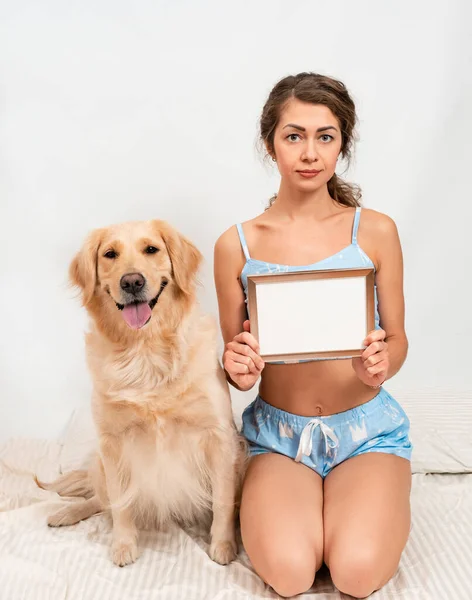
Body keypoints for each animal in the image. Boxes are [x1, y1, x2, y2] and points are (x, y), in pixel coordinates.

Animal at [37, 220, 243, 568]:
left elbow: (223, 500)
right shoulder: (113, 442)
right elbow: (120, 503)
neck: (145, 351)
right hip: (100, 463)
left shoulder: (218, 436)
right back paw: (66, 512)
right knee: (100, 499)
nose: (132, 281)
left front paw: (223, 545)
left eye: (151, 249)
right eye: (110, 254)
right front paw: (123, 545)